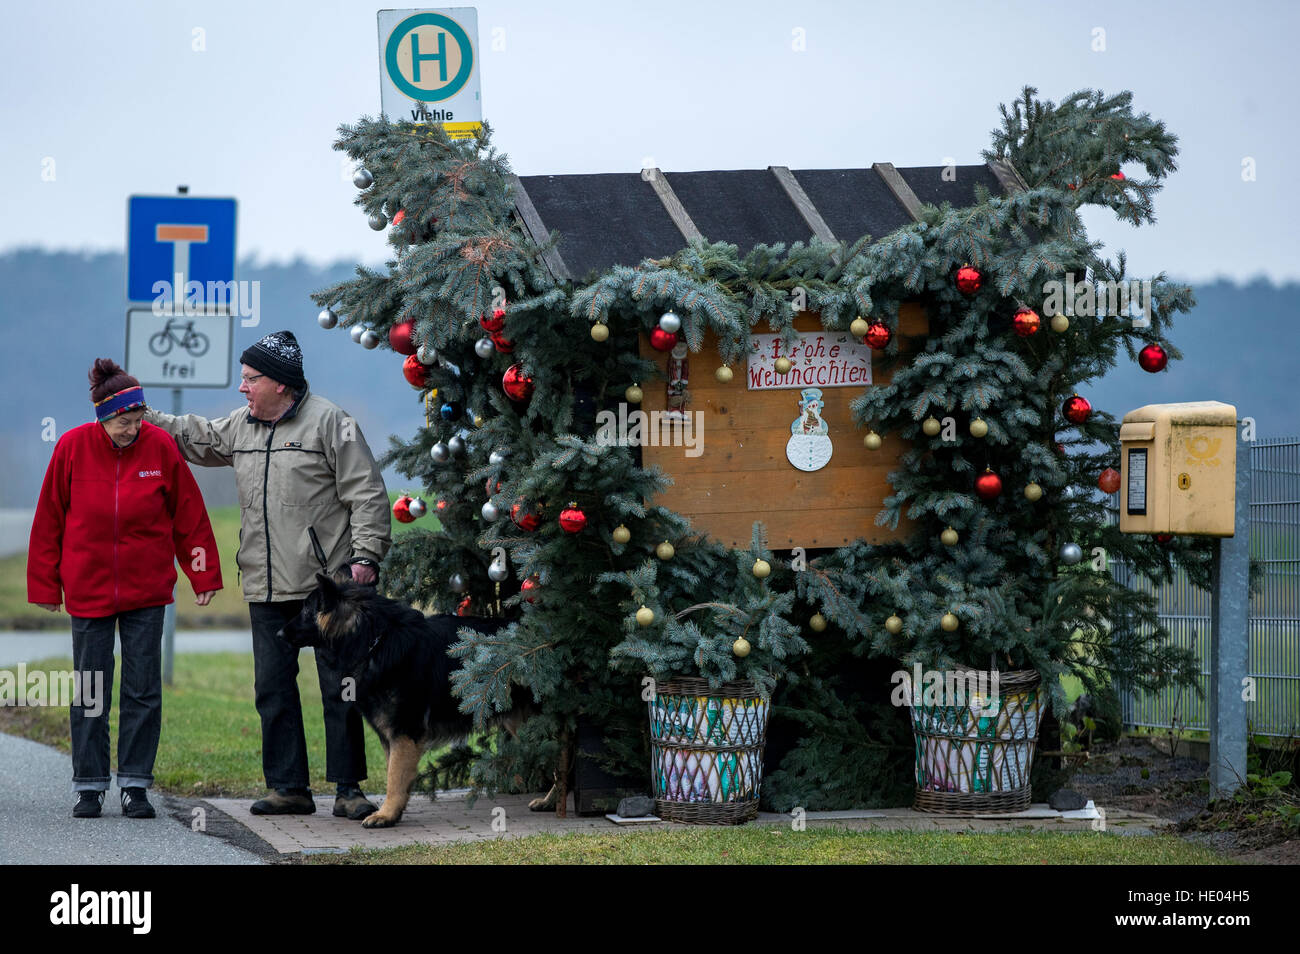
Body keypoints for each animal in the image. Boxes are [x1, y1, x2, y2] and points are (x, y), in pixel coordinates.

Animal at [282, 574, 530, 831]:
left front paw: (385, 814)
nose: (280, 633)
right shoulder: (391, 738)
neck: (374, 642)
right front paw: (394, 813)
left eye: (305, 610)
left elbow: (394, 777)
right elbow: (394, 773)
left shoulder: (403, 733)